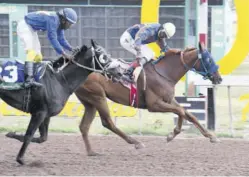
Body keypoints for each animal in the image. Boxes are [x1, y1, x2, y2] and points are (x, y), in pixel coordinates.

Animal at [74, 39, 222, 155]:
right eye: (208, 59)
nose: (219, 78)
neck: (164, 73)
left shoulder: (169, 99)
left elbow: (189, 114)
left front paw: (211, 136)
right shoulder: (154, 104)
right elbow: (180, 111)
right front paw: (171, 135)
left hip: (89, 101)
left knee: (84, 126)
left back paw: (91, 151)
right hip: (98, 96)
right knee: (108, 122)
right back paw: (136, 142)